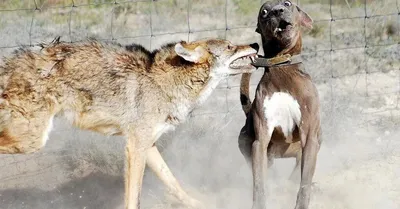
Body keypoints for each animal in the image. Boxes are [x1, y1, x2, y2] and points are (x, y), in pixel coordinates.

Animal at [238, 0, 322, 208]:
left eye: (287, 3)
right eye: (264, 12)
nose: (277, 12)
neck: (281, 66)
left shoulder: (309, 136)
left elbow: (304, 182)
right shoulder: (260, 142)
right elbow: (259, 184)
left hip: (315, 140)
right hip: (248, 144)